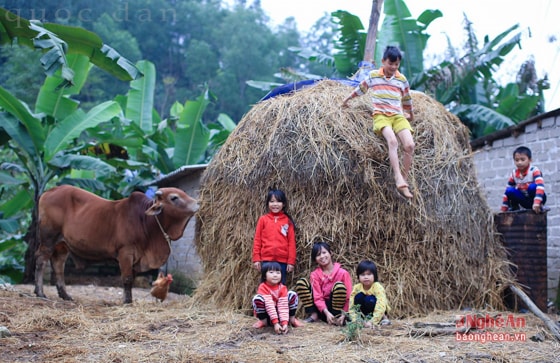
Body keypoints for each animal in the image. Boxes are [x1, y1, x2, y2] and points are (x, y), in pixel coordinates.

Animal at [34, 185, 198, 304]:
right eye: (174, 197)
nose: (198, 203)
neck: (145, 221)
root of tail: (49, 191)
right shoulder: (125, 252)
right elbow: (127, 279)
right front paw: (127, 302)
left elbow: (131, 278)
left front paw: (129, 299)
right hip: (48, 239)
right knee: (41, 261)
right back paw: (40, 292)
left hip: (62, 244)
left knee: (58, 265)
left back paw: (65, 295)